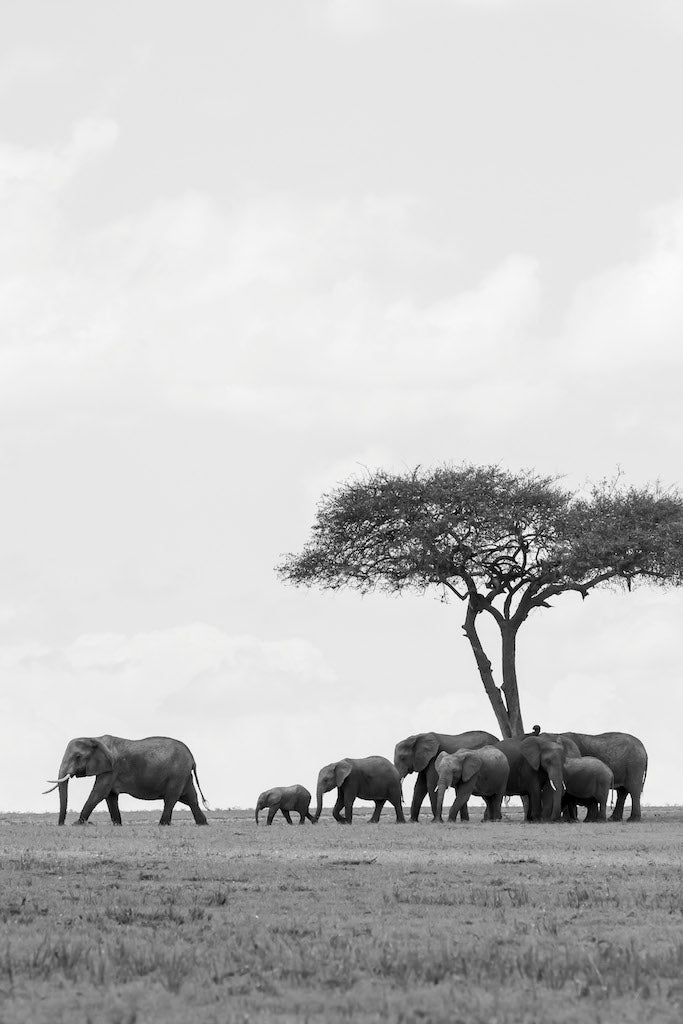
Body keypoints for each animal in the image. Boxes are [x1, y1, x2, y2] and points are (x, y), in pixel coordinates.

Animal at [43, 733, 208, 827]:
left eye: (77, 757)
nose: (61, 825)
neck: (95, 739)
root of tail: (192, 759)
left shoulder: (112, 768)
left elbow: (98, 793)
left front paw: (77, 824)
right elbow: (110, 796)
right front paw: (117, 825)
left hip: (177, 774)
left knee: (171, 798)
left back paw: (162, 825)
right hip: (184, 775)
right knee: (191, 798)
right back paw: (203, 824)